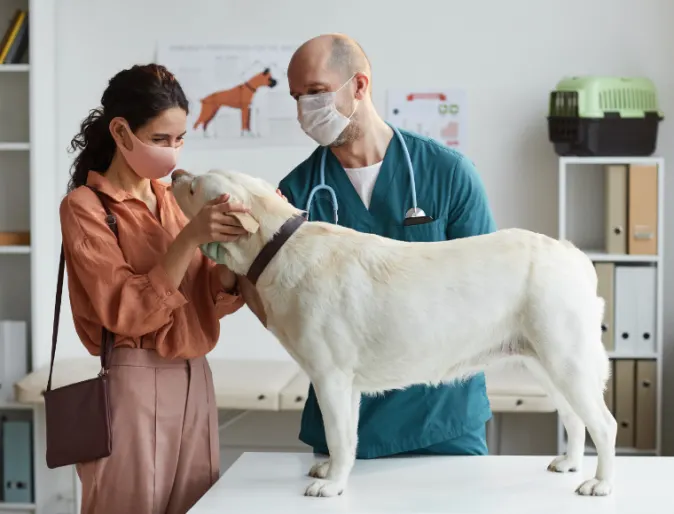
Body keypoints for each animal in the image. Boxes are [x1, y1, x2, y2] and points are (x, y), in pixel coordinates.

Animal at [172, 168, 616, 496]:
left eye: (193, 188)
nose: (175, 172)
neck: (277, 246)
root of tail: (573, 255)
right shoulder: (346, 385)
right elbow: (347, 437)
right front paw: (332, 471)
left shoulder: (330, 377)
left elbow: (337, 435)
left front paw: (332, 486)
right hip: (545, 363)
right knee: (575, 418)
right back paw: (570, 463)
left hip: (567, 359)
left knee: (604, 424)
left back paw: (600, 483)